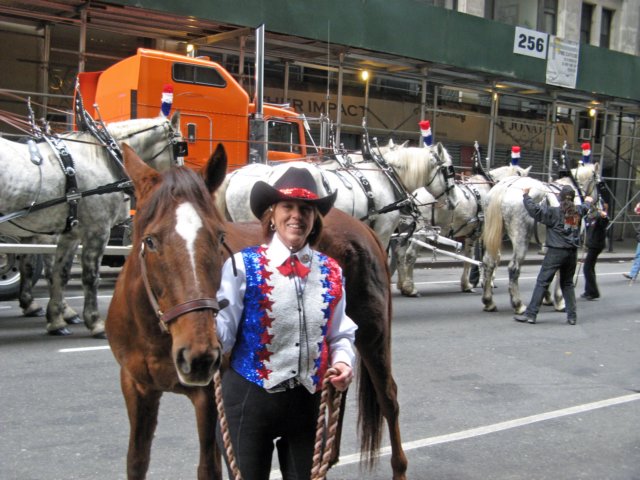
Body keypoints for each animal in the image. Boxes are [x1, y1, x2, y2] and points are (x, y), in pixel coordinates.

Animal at [0, 114, 185, 336]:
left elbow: (60, 274)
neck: (103, 156)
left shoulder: (70, 234)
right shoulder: (97, 230)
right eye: (181, 147)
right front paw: (95, 322)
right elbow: (90, 277)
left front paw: (56, 320)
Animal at [107, 144, 408, 478]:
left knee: (388, 399)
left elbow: (208, 467)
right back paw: (326, 459)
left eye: (219, 237)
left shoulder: (208, 398)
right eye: (150, 240)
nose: (200, 356)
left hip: (373, 336)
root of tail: (364, 228)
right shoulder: (137, 388)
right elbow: (136, 462)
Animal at [396, 167, 528, 298]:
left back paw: (402, 284)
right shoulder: (485, 233)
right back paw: (410, 288)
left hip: (405, 229)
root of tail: (411, 196)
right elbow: (490, 257)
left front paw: (466, 284)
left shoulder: (472, 234)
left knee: (399, 254)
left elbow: (468, 257)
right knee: (410, 255)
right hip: (422, 232)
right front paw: (487, 282)